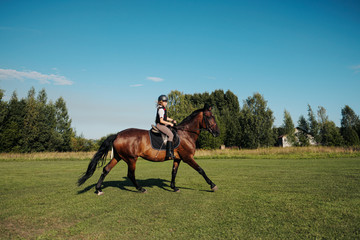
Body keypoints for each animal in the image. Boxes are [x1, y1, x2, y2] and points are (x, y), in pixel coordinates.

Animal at [77, 104, 221, 194]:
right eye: (210, 117)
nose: (217, 133)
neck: (185, 133)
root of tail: (117, 134)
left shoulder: (178, 159)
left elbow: (173, 173)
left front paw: (174, 187)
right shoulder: (187, 157)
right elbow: (201, 170)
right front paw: (213, 185)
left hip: (118, 157)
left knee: (106, 169)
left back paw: (98, 189)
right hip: (131, 159)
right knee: (130, 174)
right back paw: (141, 189)